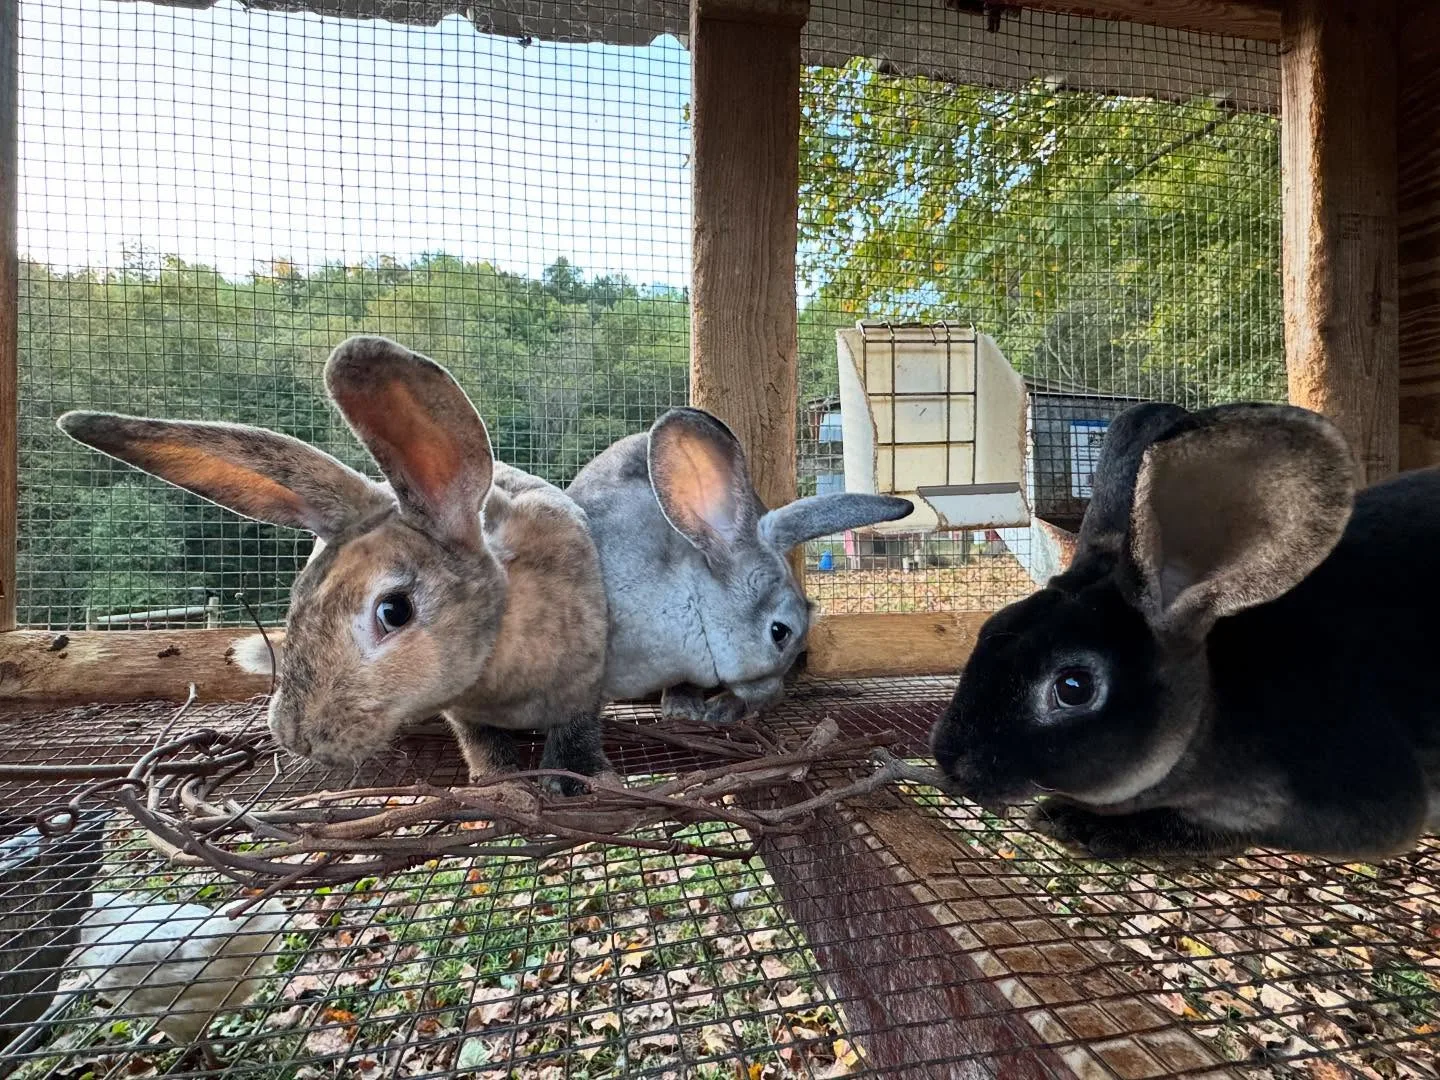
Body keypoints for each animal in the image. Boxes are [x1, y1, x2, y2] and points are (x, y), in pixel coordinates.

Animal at [58, 336, 611, 792]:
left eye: (393, 611)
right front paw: (497, 781)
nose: (296, 738)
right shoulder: (466, 714)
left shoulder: (585, 681)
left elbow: (575, 729)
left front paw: (573, 781)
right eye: (297, 598)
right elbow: (483, 742)